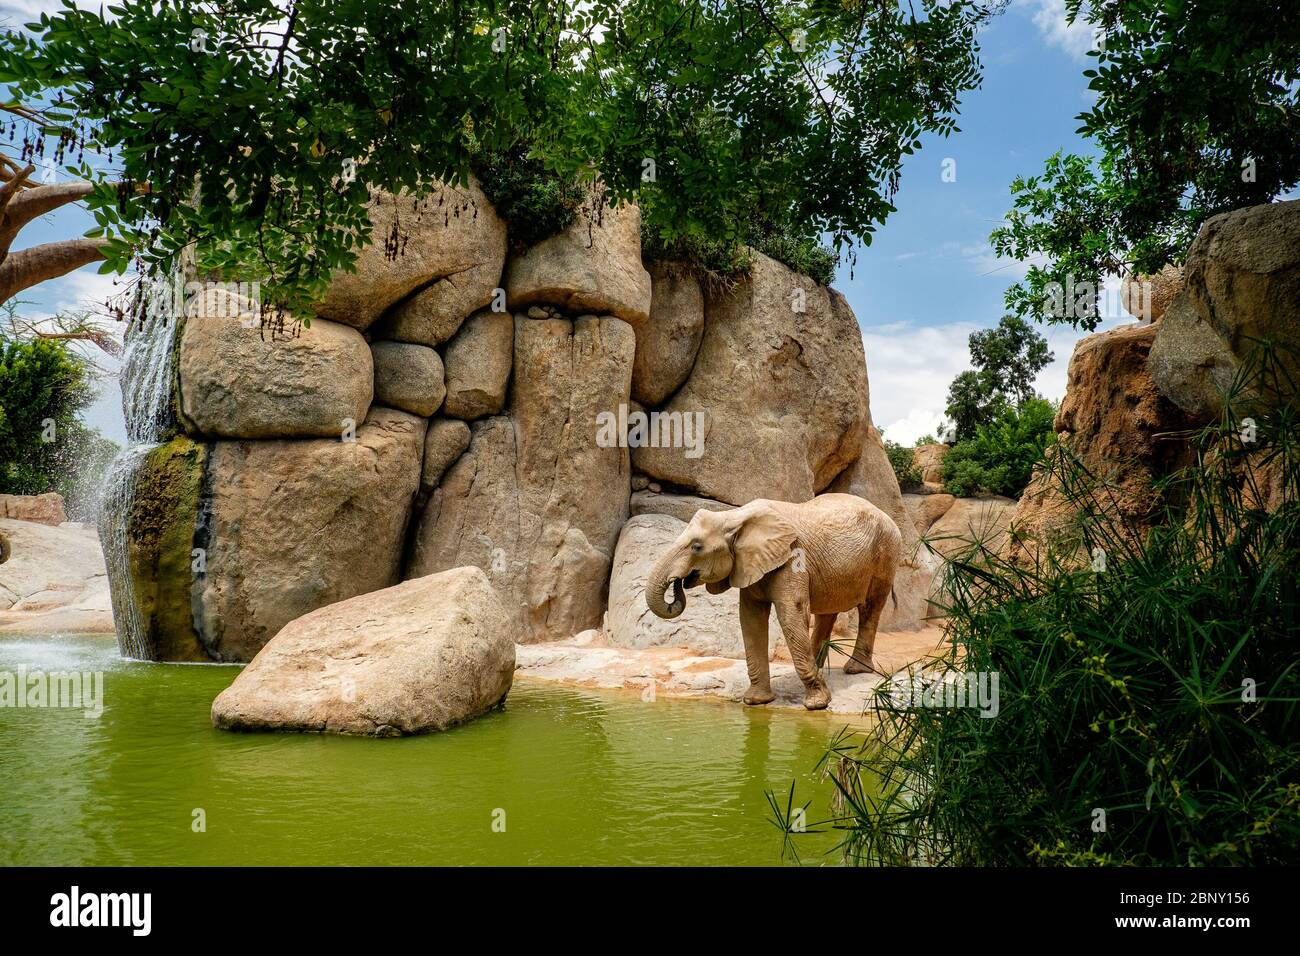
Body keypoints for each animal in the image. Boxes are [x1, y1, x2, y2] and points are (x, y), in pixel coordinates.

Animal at [644, 494, 899, 712]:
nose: (678, 584)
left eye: (696, 547)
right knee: (828, 611)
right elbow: (750, 619)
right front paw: (755, 701)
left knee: (870, 607)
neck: (735, 517)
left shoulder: (793, 557)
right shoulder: (750, 563)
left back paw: (855, 670)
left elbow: (791, 614)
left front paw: (817, 704)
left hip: (886, 553)